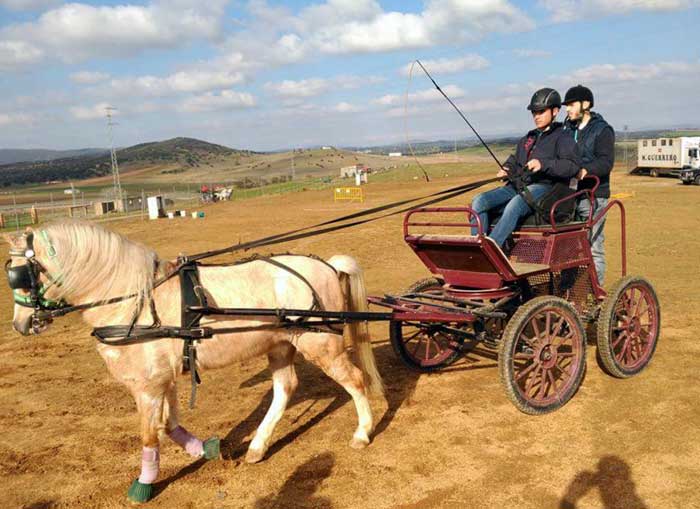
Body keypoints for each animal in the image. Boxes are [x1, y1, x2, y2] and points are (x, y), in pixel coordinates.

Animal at [2, 221, 382, 500]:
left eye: (21, 274)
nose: (21, 325)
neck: (135, 300)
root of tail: (327, 265)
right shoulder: (164, 378)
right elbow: (169, 425)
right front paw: (207, 449)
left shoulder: (147, 386)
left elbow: (149, 434)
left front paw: (144, 484)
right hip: (279, 344)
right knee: (285, 388)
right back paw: (258, 446)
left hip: (321, 344)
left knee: (354, 380)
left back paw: (363, 433)